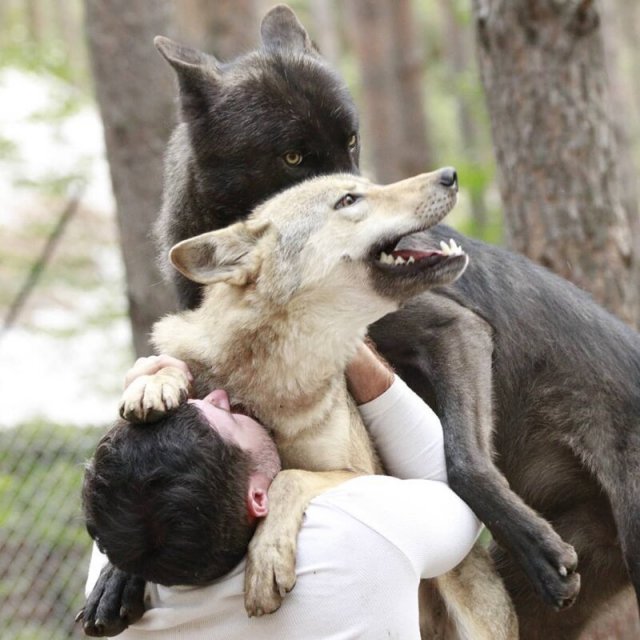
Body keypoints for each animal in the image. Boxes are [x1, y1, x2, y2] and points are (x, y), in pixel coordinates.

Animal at [82, 5, 636, 640]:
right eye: (293, 158)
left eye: (351, 141)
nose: (444, 179)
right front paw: (116, 575)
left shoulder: (455, 330)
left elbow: (461, 460)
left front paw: (535, 542)